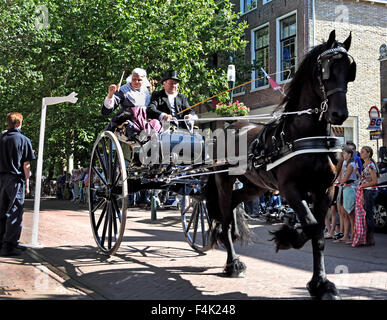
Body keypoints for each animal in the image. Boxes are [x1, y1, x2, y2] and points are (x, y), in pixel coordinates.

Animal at [206, 30, 358, 300]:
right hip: (224, 181)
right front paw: (287, 238)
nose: (339, 114)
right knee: (224, 221)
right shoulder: (290, 188)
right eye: (326, 69)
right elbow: (311, 226)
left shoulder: (326, 189)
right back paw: (233, 264)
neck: (307, 133)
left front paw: (321, 284)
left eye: (350, 70)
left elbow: (318, 234)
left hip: (255, 186)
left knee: (234, 207)